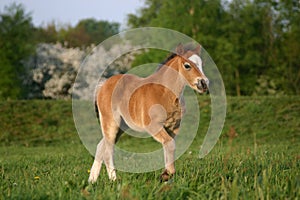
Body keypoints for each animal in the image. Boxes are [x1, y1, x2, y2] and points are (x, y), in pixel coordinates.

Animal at [88, 43, 207, 183]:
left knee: (101, 146)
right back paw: (114, 180)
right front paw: (167, 174)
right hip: (111, 122)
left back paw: (92, 180)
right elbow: (170, 145)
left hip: (122, 126)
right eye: (187, 65)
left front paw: (166, 176)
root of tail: (103, 85)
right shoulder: (153, 126)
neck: (165, 93)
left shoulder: (173, 127)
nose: (203, 83)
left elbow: (169, 146)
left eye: (202, 63)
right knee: (108, 151)